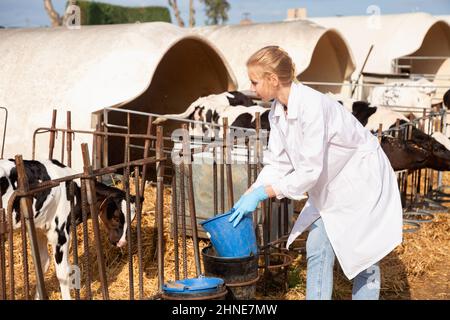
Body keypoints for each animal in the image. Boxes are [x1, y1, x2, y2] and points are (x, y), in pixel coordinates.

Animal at [0, 160, 140, 300]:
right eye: (116, 217)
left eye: (132, 219)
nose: (122, 242)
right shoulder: (60, 233)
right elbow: (63, 272)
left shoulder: (39, 229)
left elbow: (42, 263)